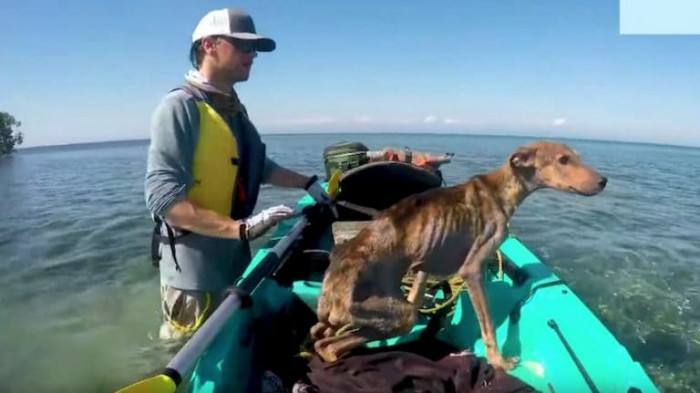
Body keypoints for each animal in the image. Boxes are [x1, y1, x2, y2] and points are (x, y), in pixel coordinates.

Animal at [312, 142, 608, 370]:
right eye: (563, 160)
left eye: (575, 156)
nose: (604, 181)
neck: (501, 189)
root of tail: (328, 290)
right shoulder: (472, 270)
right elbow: (488, 325)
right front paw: (499, 362)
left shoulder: (427, 262)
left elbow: (418, 290)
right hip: (395, 315)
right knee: (329, 345)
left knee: (323, 339)